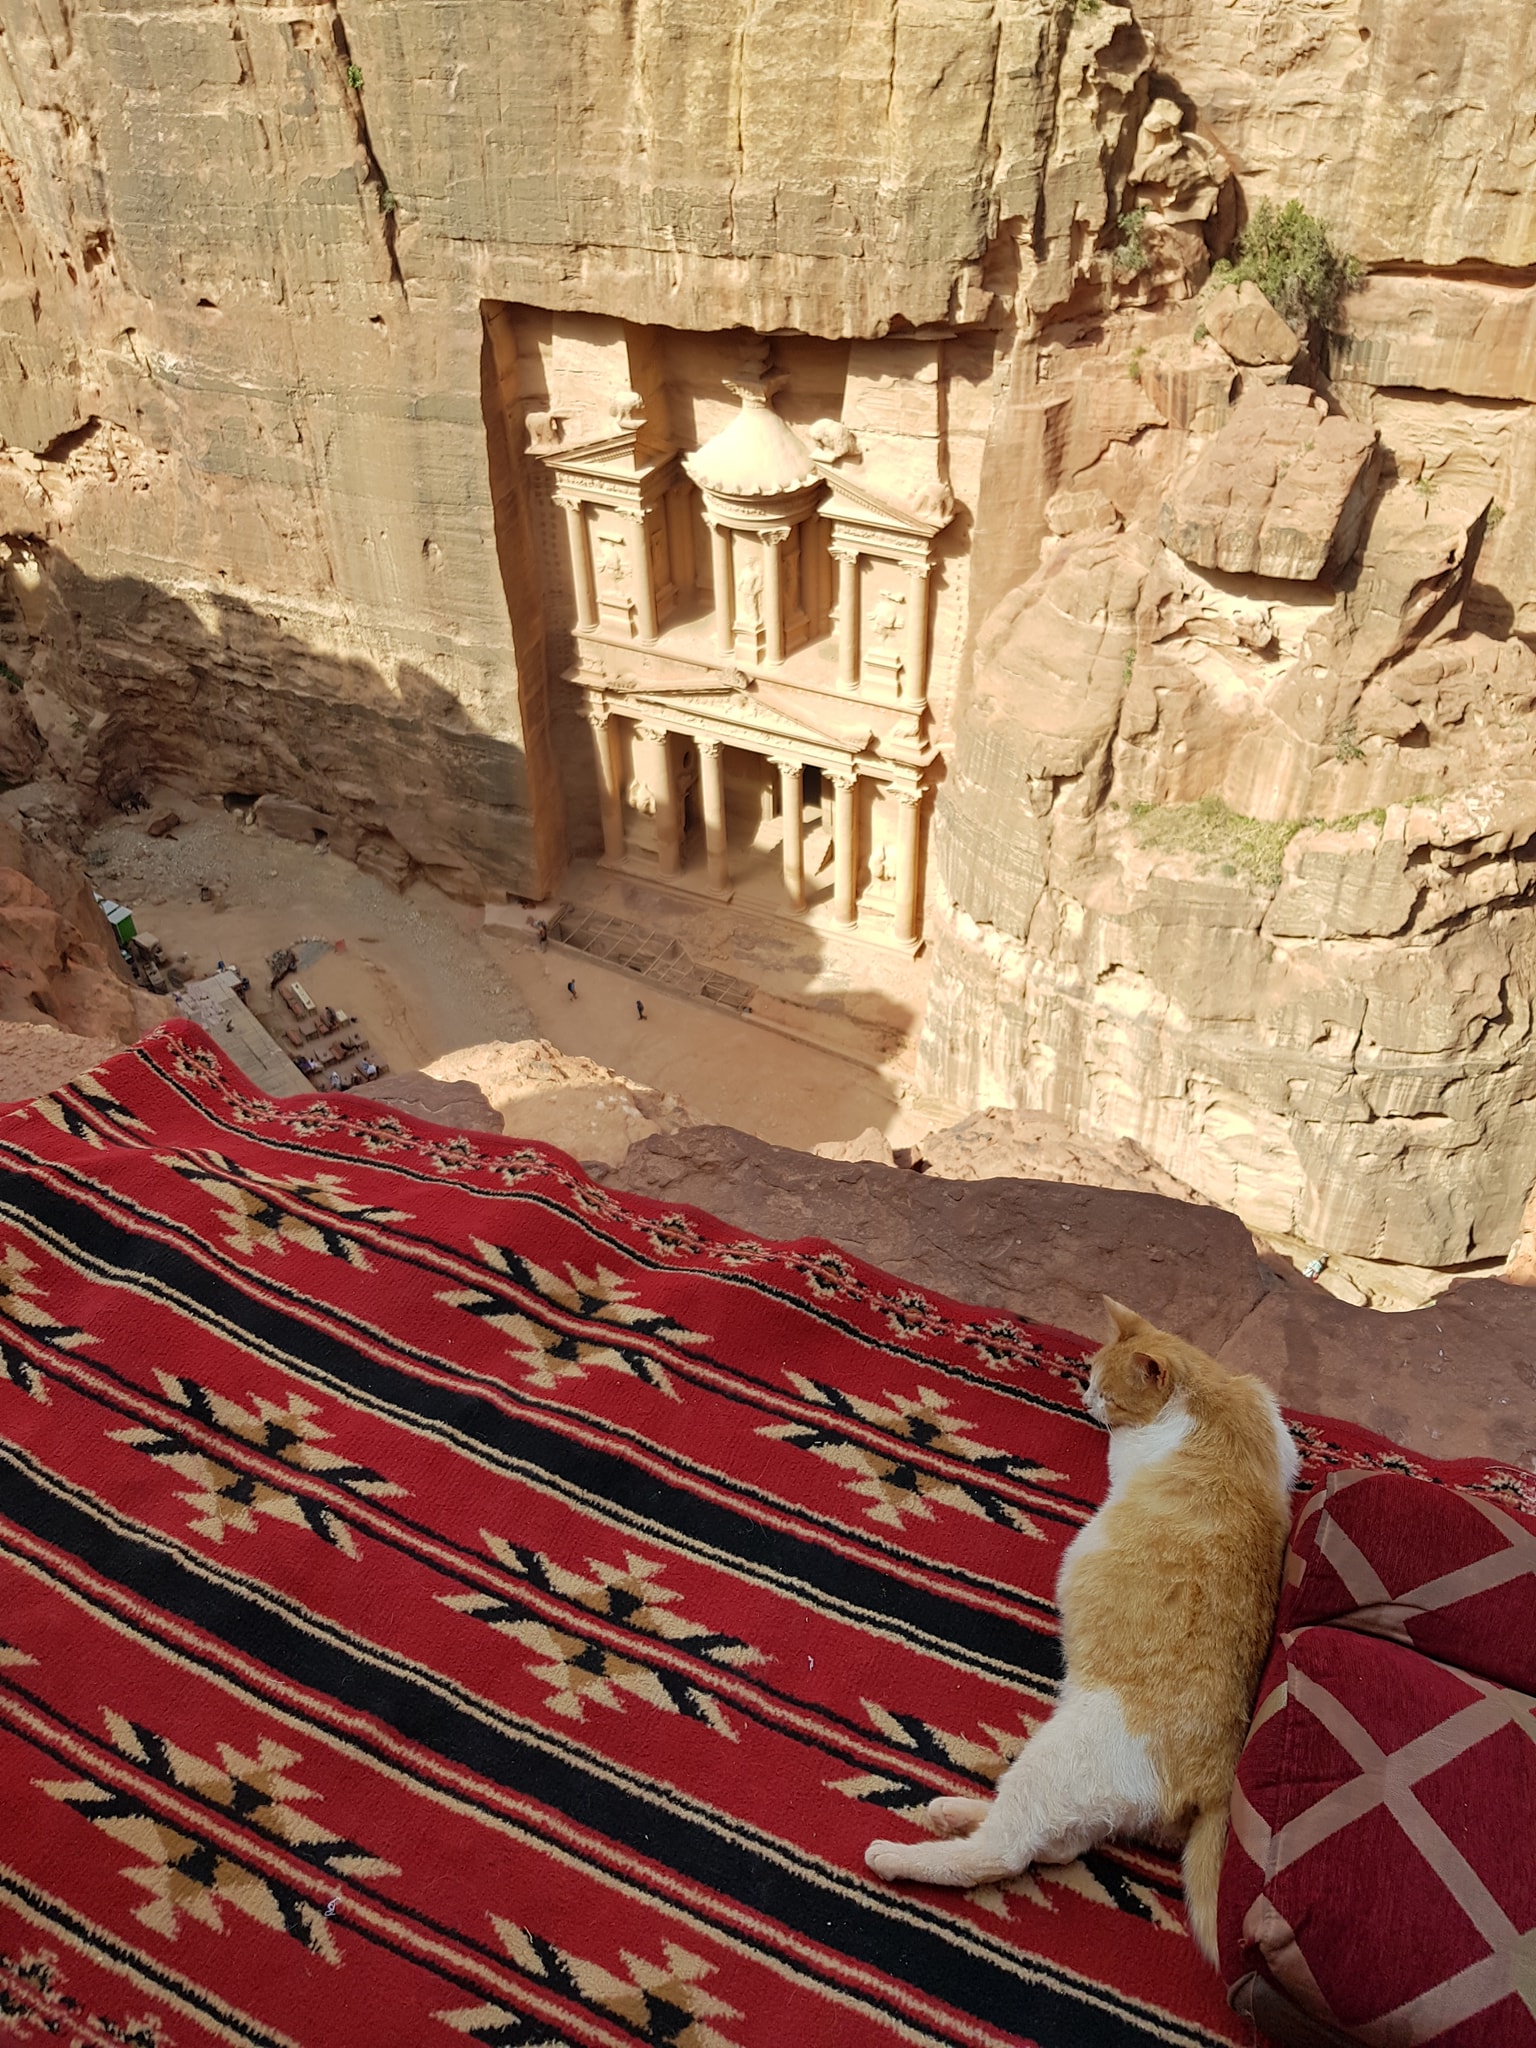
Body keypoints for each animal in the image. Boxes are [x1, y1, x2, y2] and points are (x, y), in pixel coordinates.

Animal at [865, 1296, 1299, 1965]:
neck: (1215, 1399)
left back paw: (900, 1853)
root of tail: (1219, 1778)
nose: (1086, 1395)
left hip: (1057, 1759)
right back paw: (953, 1812)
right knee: (1054, 1844)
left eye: (1104, 1388)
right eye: (1092, 1376)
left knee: (1002, 1853)